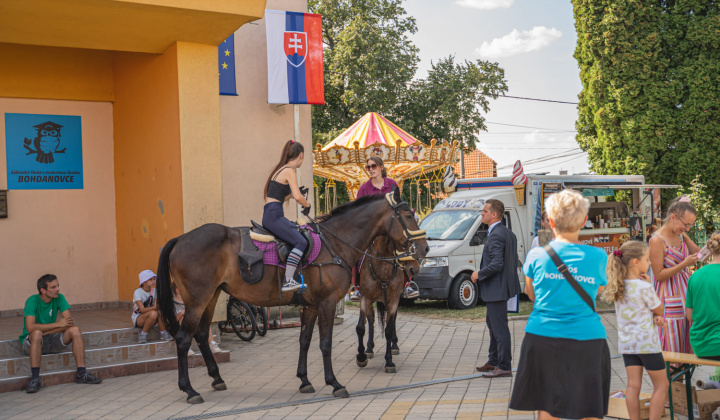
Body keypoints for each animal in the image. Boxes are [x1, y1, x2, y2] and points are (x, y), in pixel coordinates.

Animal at [352, 236, 420, 374]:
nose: (414, 269)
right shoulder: (365, 298)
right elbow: (361, 327)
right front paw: (361, 357)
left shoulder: (393, 300)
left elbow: (388, 329)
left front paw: (389, 362)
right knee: (371, 319)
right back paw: (369, 348)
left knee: (392, 320)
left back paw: (394, 345)